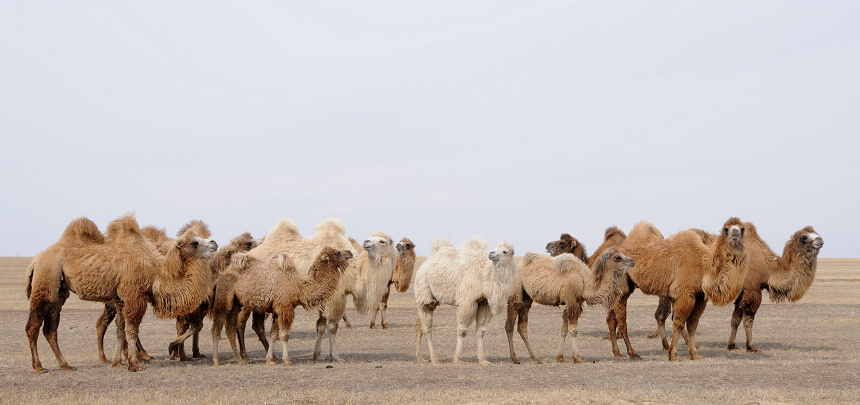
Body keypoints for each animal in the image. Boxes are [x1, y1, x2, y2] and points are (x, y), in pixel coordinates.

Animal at [26, 215, 217, 372]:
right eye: (194, 242)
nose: (214, 243)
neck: (154, 272)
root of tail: (36, 259)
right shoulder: (134, 295)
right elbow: (131, 329)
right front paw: (134, 364)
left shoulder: (120, 299)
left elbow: (120, 330)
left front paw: (118, 362)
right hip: (45, 282)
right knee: (33, 326)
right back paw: (38, 367)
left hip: (58, 293)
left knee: (50, 329)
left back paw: (65, 365)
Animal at [210, 248, 352, 364]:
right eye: (337, 253)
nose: (350, 253)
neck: (299, 287)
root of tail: (224, 273)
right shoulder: (285, 307)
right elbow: (284, 335)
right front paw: (286, 360)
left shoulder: (277, 309)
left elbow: (273, 334)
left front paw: (270, 359)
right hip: (224, 296)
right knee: (217, 326)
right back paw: (216, 360)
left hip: (236, 303)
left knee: (230, 327)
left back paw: (240, 360)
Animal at [414, 235, 516, 364]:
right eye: (495, 248)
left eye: (505, 251)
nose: (491, 254)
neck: (484, 276)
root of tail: (423, 266)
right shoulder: (468, 301)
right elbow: (462, 331)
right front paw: (457, 359)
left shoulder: (484, 303)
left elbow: (481, 331)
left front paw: (483, 360)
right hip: (425, 294)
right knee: (427, 328)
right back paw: (435, 360)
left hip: (432, 300)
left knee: (419, 324)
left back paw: (420, 358)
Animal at [504, 246, 640, 362]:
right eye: (617, 257)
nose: (632, 261)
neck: (585, 283)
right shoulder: (572, 302)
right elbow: (573, 330)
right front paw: (577, 357)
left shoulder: (573, 303)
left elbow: (563, 330)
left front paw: (560, 357)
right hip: (515, 292)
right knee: (509, 325)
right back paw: (514, 358)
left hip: (527, 298)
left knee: (522, 326)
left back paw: (535, 358)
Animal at [608, 218, 748, 360]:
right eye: (726, 229)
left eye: (742, 228)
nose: (735, 232)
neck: (703, 266)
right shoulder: (683, 294)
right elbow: (679, 323)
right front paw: (673, 354)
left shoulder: (699, 297)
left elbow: (693, 325)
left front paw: (694, 354)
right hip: (622, 288)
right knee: (622, 321)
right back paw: (632, 353)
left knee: (611, 319)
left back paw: (617, 352)